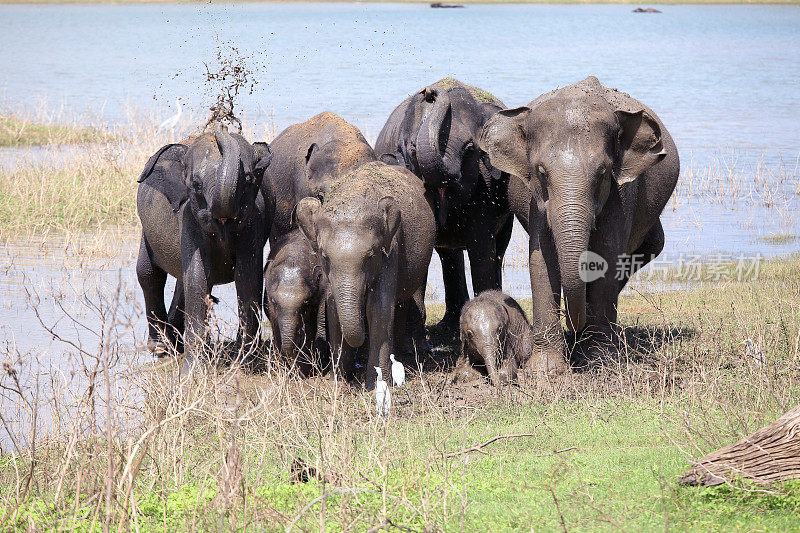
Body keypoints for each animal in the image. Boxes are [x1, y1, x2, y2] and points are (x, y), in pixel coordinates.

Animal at [138, 124, 276, 362]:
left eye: (249, 180)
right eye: (196, 185)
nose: (222, 126)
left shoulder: (253, 223)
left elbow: (248, 277)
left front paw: (243, 360)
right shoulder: (188, 220)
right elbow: (197, 276)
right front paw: (194, 365)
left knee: (179, 283)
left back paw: (174, 344)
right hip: (146, 231)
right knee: (148, 274)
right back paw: (161, 348)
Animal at [266, 229, 328, 374]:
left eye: (306, 302)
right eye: (274, 301)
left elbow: (310, 326)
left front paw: (303, 371)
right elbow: (275, 324)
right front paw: (285, 370)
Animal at [294, 160, 434, 388]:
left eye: (370, 256)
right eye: (324, 256)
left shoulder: (390, 249)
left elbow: (378, 309)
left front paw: (376, 385)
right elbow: (333, 310)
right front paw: (339, 383)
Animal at [376, 77, 512, 330]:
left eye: (470, 148)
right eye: (412, 149)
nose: (428, 92)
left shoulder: (485, 185)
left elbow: (481, 249)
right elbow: (419, 249)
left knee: (499, 248)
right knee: (448, 254)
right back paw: (447, 325)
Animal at [478, 76, 680, 374]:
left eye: (603, 172)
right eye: (541, 172)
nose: (572, 326)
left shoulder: (622, 194)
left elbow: (607, 255)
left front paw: (599, 361)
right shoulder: (536, 202)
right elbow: (542, 259)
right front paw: (546, 370)